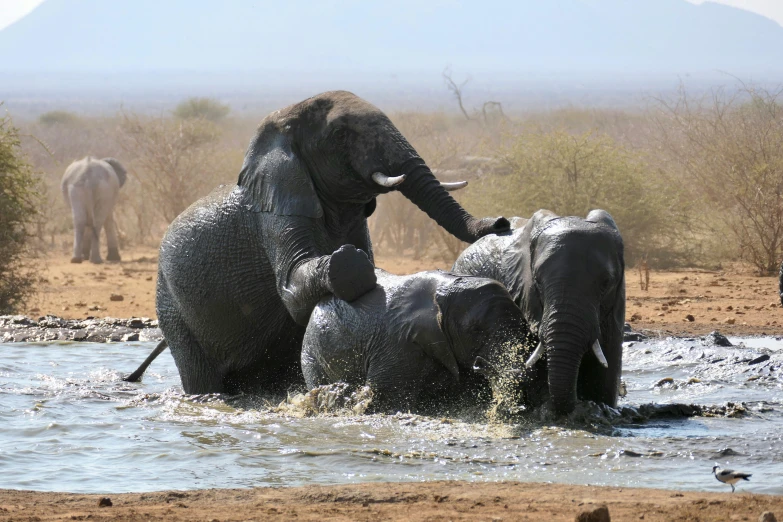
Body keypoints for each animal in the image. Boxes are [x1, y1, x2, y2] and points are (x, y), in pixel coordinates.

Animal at [152, 91, 516, 392]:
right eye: (341, 135)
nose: (502, 222)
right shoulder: (276, 211)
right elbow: (293, 290)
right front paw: (352, 263)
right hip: (171, 306)